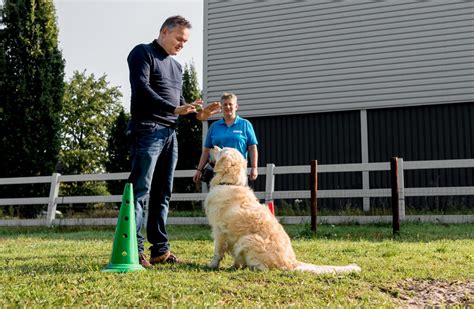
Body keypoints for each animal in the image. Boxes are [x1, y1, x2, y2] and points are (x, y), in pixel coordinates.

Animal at [202, 147, 362, 274]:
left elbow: (217, 252)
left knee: (266, 268)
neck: (229, 183)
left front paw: (212, 265)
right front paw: (233, 265)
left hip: (247, 240)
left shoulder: (220, 231)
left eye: (221, 150)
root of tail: (292, 262)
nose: (212, 146)